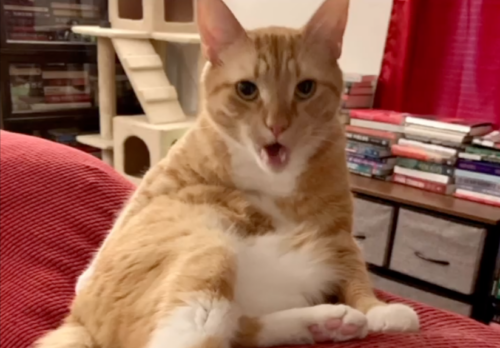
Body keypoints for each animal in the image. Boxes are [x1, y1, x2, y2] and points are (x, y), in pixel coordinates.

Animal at [34, 0, 418, 348]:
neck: (273, 178)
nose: (277, 126)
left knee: (240, 328)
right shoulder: (166, 177)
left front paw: (378, 309)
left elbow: (357, 274)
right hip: (208, 257)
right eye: (247, 89)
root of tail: (78, 320)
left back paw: (325, 322)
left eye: (305, 88)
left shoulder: (337, 231)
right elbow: (127, 210)